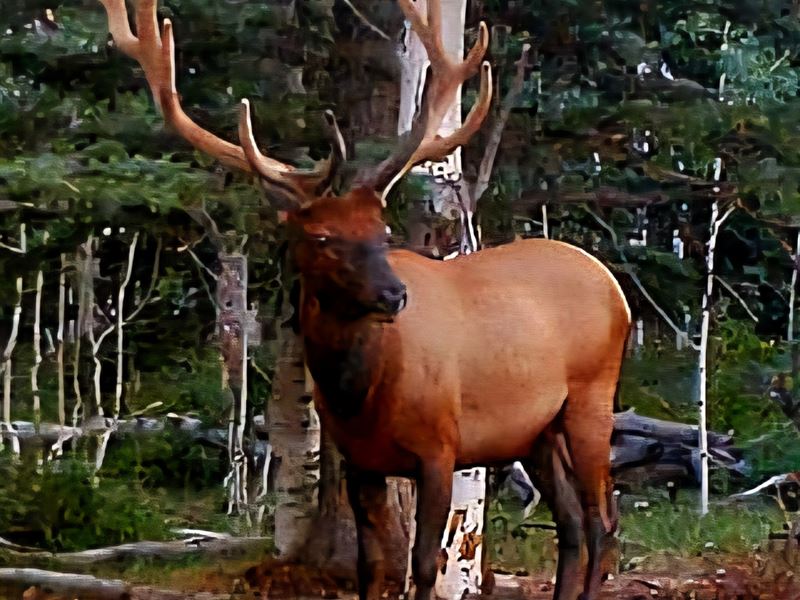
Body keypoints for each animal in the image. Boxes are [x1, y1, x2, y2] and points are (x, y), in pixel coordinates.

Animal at [96, 1, 631, 599]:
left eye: (382, 230)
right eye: (321, 237)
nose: (394, 295)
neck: (361, 392)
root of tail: (612, 284)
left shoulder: (440, 448)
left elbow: (423, 565)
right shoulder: (361, 461)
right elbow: (372, 565)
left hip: (592, 397)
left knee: (602, 520)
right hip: (535, 433)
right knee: (571, 524)